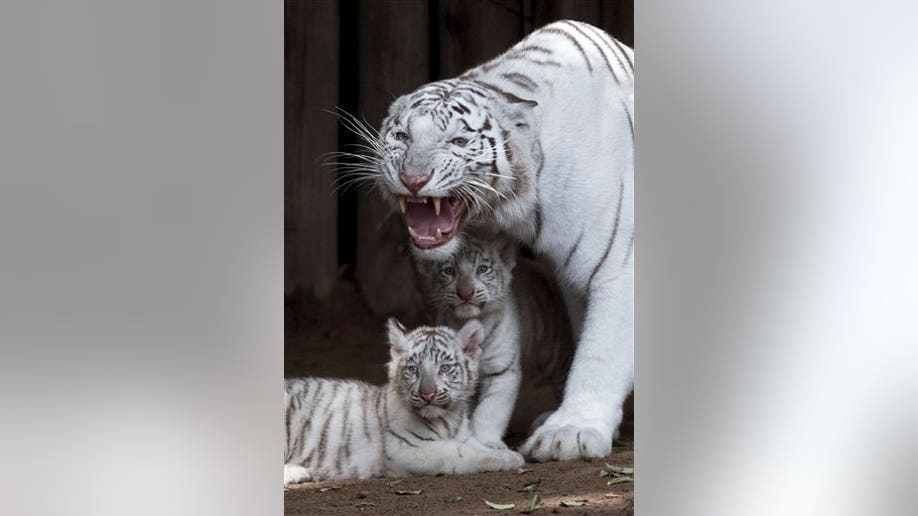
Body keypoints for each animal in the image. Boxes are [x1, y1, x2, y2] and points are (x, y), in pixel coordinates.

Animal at [366, 19, 632, 460]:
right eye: (402, 136)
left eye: (458, 142)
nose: (413, 178)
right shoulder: (575, 278)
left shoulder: (618, 266)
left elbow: (600, 350)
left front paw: (571, 431)